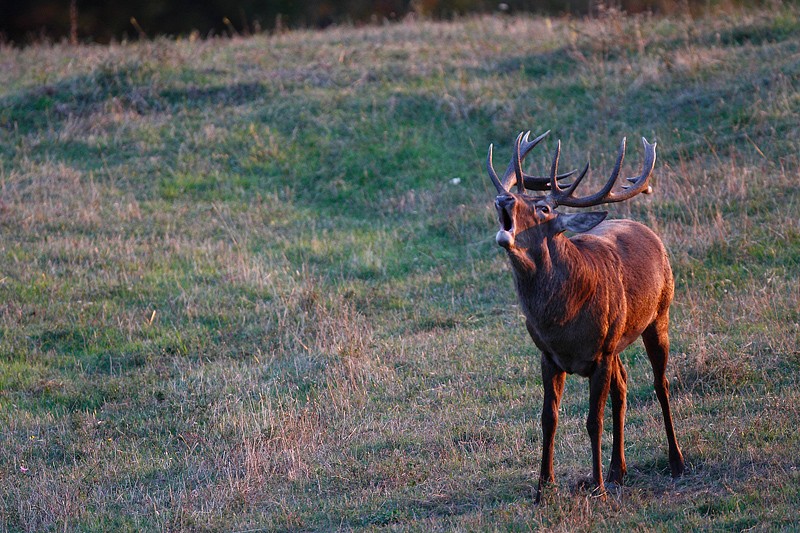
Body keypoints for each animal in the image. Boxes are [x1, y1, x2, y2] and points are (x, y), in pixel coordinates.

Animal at [488, 130, 688, 502]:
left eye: (543, 208)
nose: (503, 199)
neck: (562, 324)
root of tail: (647, 231)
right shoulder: (548, 355)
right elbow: (548, 418)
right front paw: (543, 488)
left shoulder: (600, 353)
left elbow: (593, 420)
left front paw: (596, 487)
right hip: (619, 339)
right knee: (623, 386)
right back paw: (617, 471)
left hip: (659, 315)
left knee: (660, 383)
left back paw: (675, 462)